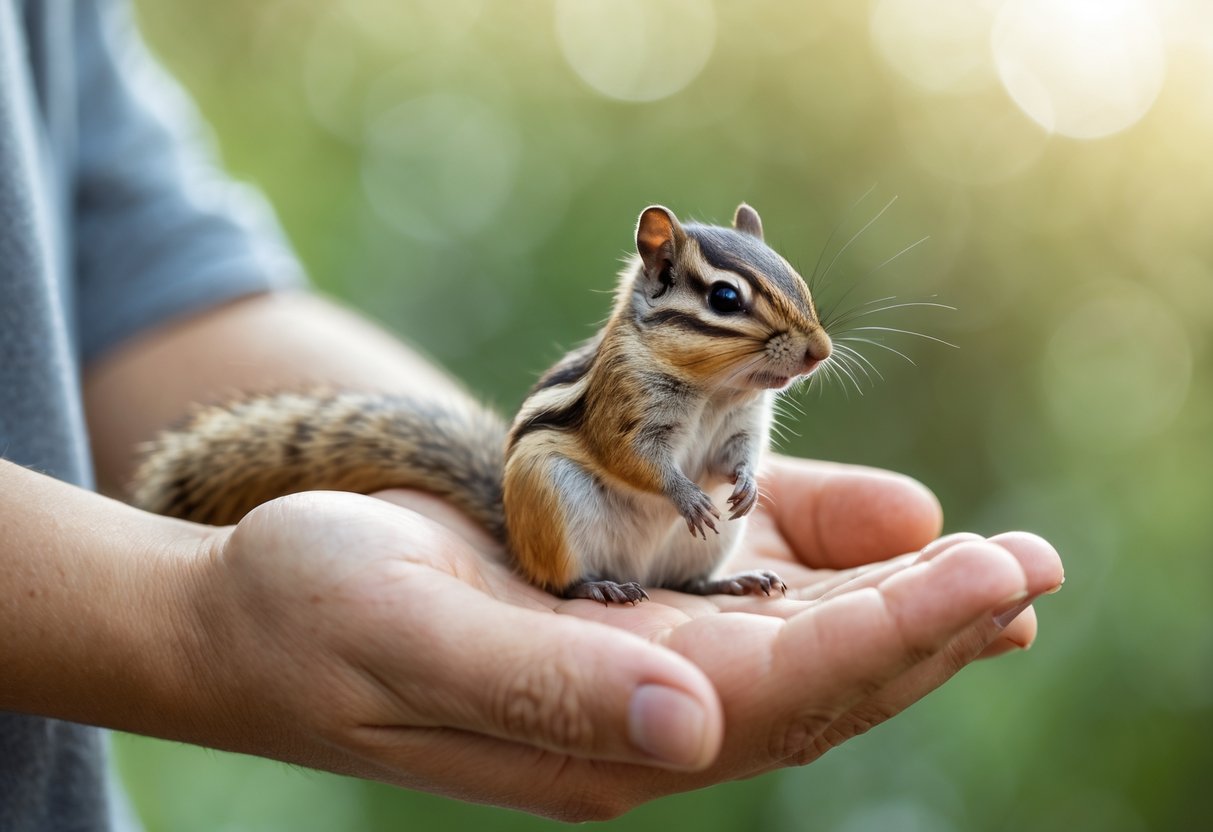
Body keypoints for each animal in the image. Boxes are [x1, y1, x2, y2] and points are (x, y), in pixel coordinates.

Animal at [129, 204, 832, 604]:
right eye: (724, 298)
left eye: (797, 276)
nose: (820, 351)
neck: (717, 389)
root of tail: (513, 533)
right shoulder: (624, 408)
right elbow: (636, 459)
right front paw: (687, 497)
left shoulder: (739, 425)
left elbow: (735, 456)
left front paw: (744, 485)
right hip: (551, 498)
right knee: (557, 581)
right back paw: (600, 585)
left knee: (682, 582)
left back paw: (731, 580)